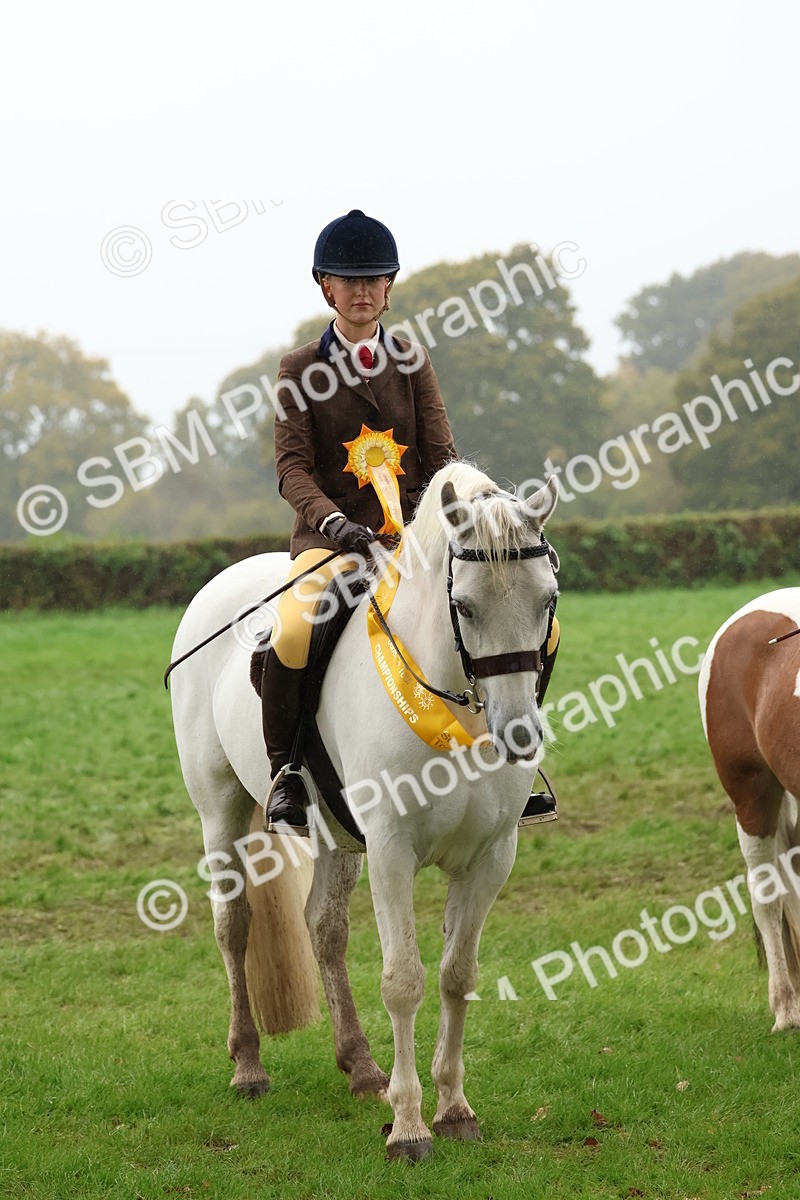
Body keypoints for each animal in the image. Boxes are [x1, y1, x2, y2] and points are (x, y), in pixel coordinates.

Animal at [169, 460, 559, 1161]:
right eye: (464, 606)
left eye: (547, 601)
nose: (518, 734)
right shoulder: (391, 851)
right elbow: (403, 979)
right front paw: (408, 1129)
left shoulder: (490, 858)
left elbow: (456, 975)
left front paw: (454, 1109)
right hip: (221, 811)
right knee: (233, 925)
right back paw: (248, 1066)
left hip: (335, 836)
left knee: (323, 928)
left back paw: (361, 1066)